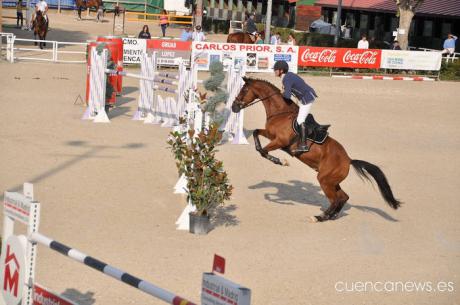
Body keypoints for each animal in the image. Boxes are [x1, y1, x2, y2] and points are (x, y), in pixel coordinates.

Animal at [232, 78, 400, 221]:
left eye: (244, 90)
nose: (234, 107)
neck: (280, 112)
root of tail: (349, 159)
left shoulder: (280, 141)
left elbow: (263, 151)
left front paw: (281, 161)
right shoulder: (270, 134)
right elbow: (256, 135)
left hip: (325, 180)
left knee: (335, 199)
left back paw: (319, 217)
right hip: (331, 180)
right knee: (343, 197)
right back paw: (331, 216)